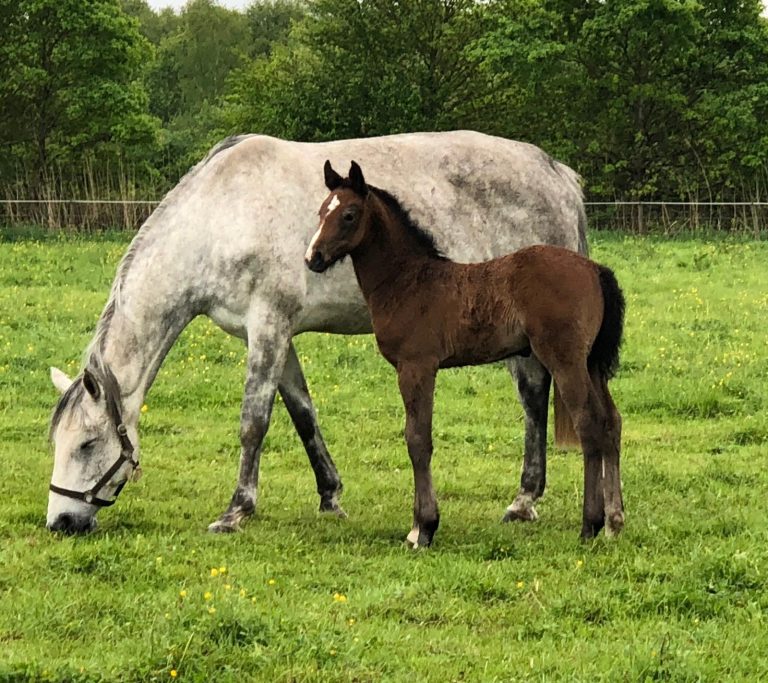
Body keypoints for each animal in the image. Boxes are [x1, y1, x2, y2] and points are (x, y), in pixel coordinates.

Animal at [47, 131, 588, 535]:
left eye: (87, 445)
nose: (62, 522)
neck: (221, 216)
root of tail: (555, 173)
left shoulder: (268, 325)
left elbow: (254, 421)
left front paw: (236, 510)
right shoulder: (273, 335)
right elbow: (303, 414)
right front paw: (330, 497)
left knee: (534, 396)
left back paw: (524, 500)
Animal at [305, 161, 625, 546]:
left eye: (349, 215)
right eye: (322, 212)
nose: (313, 258)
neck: (407, 282)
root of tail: (595, 269)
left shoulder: (416, 367)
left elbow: (418, 439)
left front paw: (422, 528)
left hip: (566, 360)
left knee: (589, 424)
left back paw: (590, 525)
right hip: (591, 363)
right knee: (611, 422)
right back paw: (614, 521)